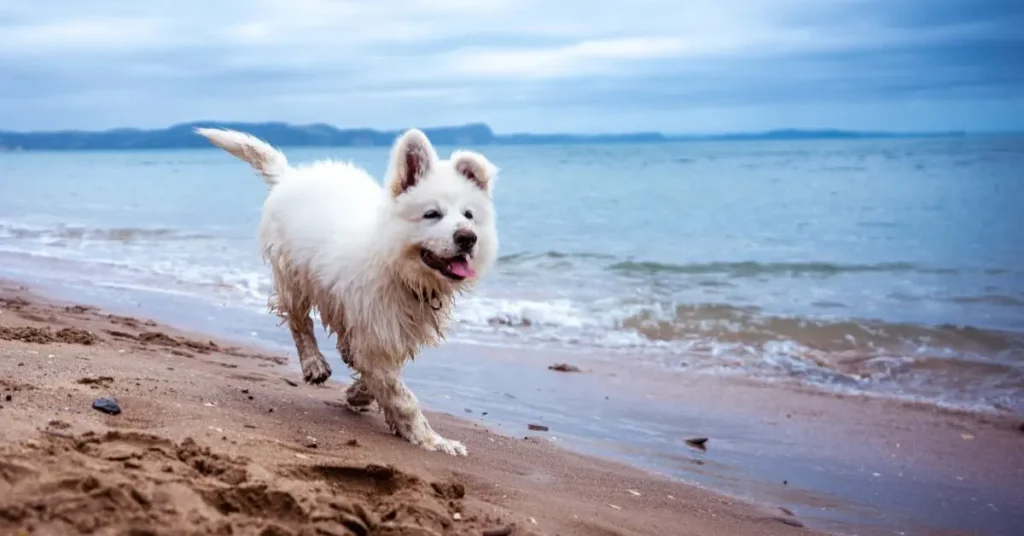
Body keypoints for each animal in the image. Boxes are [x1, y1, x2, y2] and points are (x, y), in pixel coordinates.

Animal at [196, 127, 499, 457]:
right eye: (432, 214)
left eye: (469, 215)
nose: (467, 238)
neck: (397, 266)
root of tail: (291, 175)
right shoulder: (376, 329)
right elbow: (402, 396)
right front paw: (432, 440)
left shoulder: (387, 330)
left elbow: (379, 376)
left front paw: (359, 393)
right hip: (292, 275)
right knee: (299, 322)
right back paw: (314, 362)